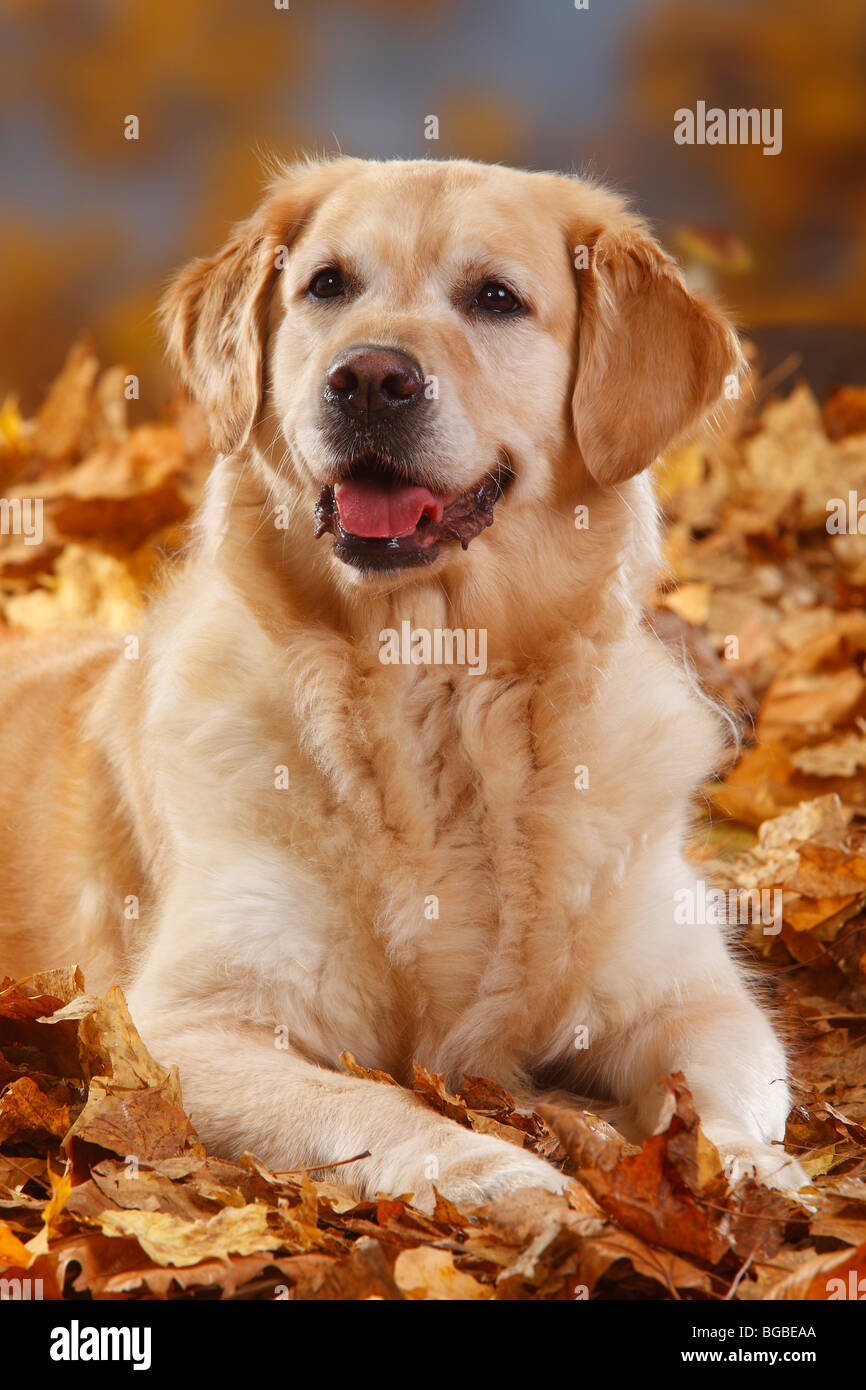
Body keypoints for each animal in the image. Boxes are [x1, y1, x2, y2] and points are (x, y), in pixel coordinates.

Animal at [0, 157, 806, 1206]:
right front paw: (506, 1177)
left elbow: (724, 1085)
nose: (370, 379)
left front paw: (743, 1170)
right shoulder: (180, 1031)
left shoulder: (692, 993)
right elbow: (379, 1110)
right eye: (327, 285)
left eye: (496, 298)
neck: (434, 691)